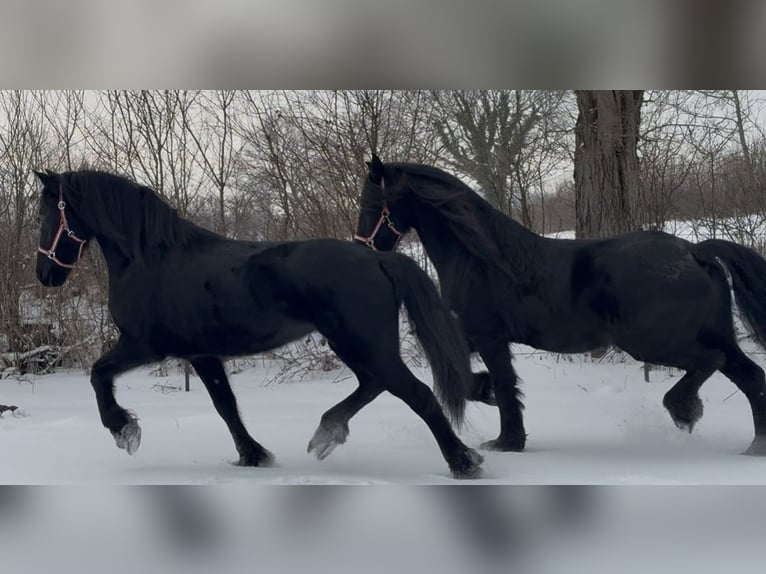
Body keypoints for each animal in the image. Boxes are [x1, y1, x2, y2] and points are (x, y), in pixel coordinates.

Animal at [32, 168, 484, 479]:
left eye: (44, 213)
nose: (45, 274)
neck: (150, 259)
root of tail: (378, 258)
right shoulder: (202, 354)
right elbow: (226, 406)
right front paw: (253, 455)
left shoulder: (144, 345)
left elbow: (98, 374)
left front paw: (124, 430)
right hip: (359, 345)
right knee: (375, 385)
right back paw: (328, 432)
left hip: (362, 343)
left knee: (416, 393)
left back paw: (463, 462)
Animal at [354, 154, 766, 456]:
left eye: (372, 203)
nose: (362, 248)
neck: (480, 260)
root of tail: (696, 252)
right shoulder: (473, 337)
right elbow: (486, 383)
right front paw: (497, 415)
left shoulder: (488, 337)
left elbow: (503, 384)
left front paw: (507, 441)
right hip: (712, 334)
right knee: (750, 375)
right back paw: (754, 447)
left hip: (654, 341)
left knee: (710, 362)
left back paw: (685, 411)